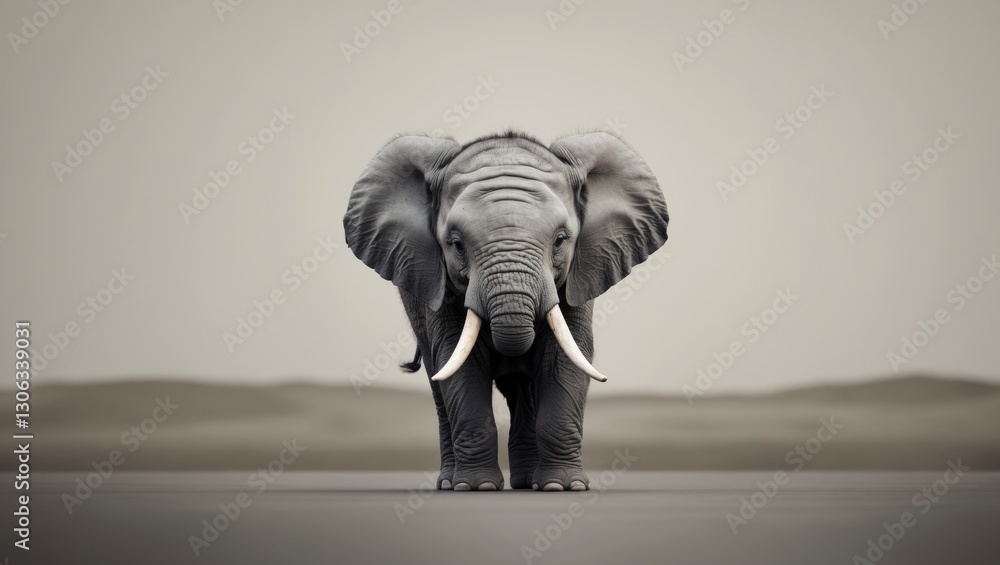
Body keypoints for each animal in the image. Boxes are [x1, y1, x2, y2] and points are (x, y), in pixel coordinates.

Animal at [344, 130, 669, 491]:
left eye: (560, 240)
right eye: (456, 244)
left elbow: (564, 358)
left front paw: (563, 487)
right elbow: (460, 363)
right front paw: (476, 487)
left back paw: (528, 483)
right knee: (440, 382)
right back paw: (453, 483)